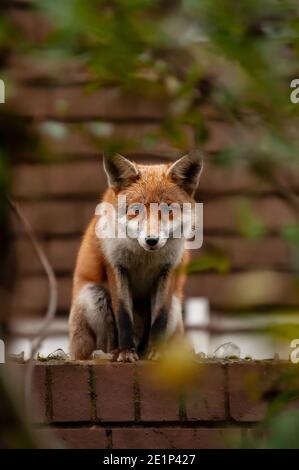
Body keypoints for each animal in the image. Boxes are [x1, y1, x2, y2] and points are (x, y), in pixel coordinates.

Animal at [69, 152, 203, 362]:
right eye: (136, 210)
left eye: (168, 209)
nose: (151, 240)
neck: (144, 258)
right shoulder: (116, 267)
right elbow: (123, 316)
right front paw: (125, 352)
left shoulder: (167, 271)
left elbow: (159, 319)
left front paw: (157, 352)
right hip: (92, 295)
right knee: (107, 341)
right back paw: (112, 353)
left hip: (175, 308)